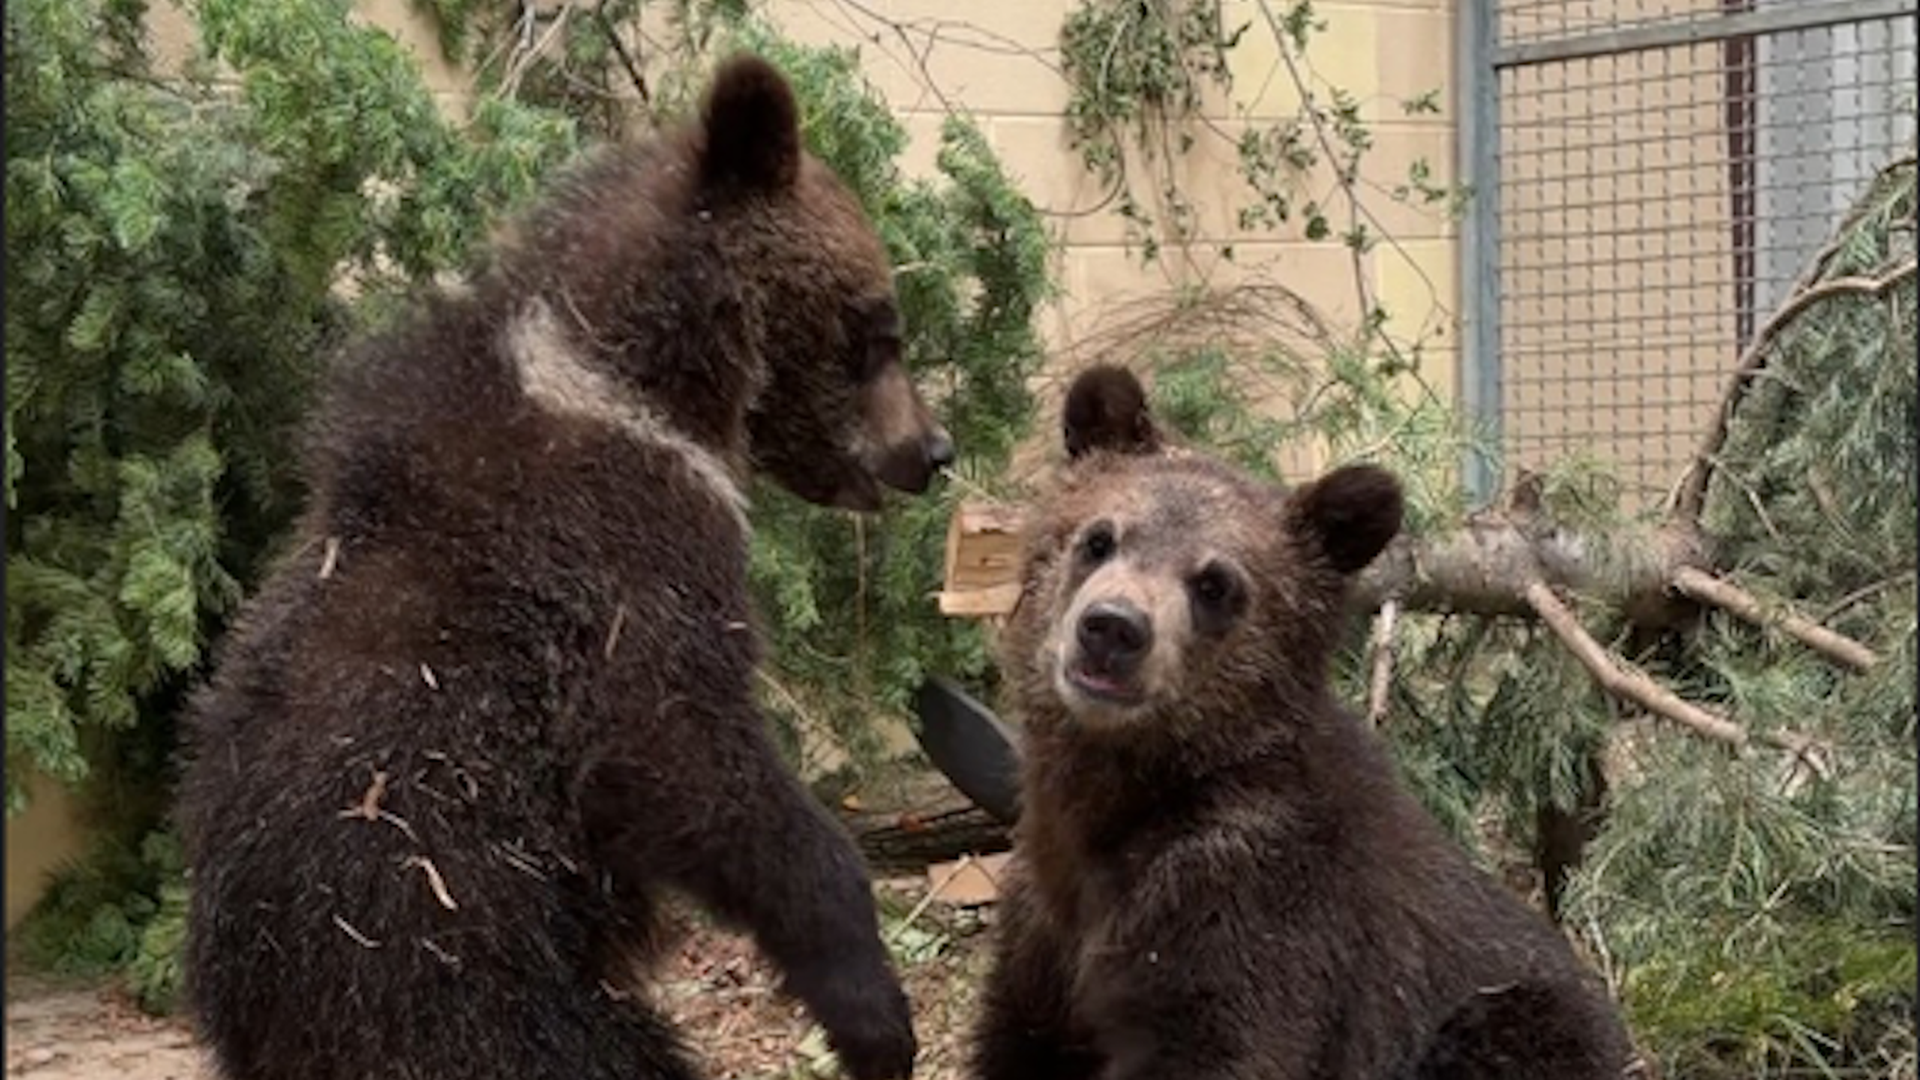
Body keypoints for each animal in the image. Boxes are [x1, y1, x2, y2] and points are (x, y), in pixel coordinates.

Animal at [177, 55, 942, 1080]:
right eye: (878, 327)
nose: (931, 451)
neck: (638, 380)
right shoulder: (618, 562)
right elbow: (687, 754)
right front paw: (872, 1011)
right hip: (469, 976)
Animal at [969, 364, 1636, 1080]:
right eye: (1099, 538)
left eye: (1215, 584)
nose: (1113, 628)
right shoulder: (1041, 933)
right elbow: (1019, 1037)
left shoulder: (1253, 910)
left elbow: (1226, 1038)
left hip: (1513, 1017)